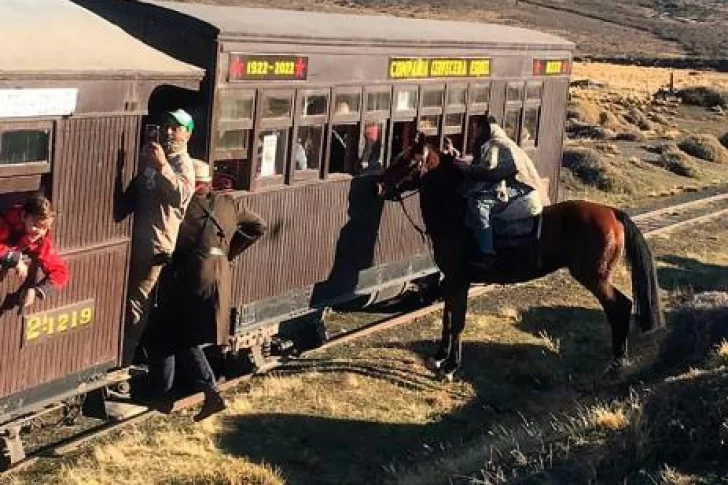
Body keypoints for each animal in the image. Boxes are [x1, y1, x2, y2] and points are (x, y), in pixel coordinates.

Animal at [376, 137, 664, 381]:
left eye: (408, 161)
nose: (379, 185)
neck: (455, 215)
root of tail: (613, 212)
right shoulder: (450, 280)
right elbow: (447, 318)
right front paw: (439, 357)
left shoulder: (460, 280)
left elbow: (457, 321)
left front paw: (450, 367)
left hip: (594, 276)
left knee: (620, 307)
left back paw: (616, 363)